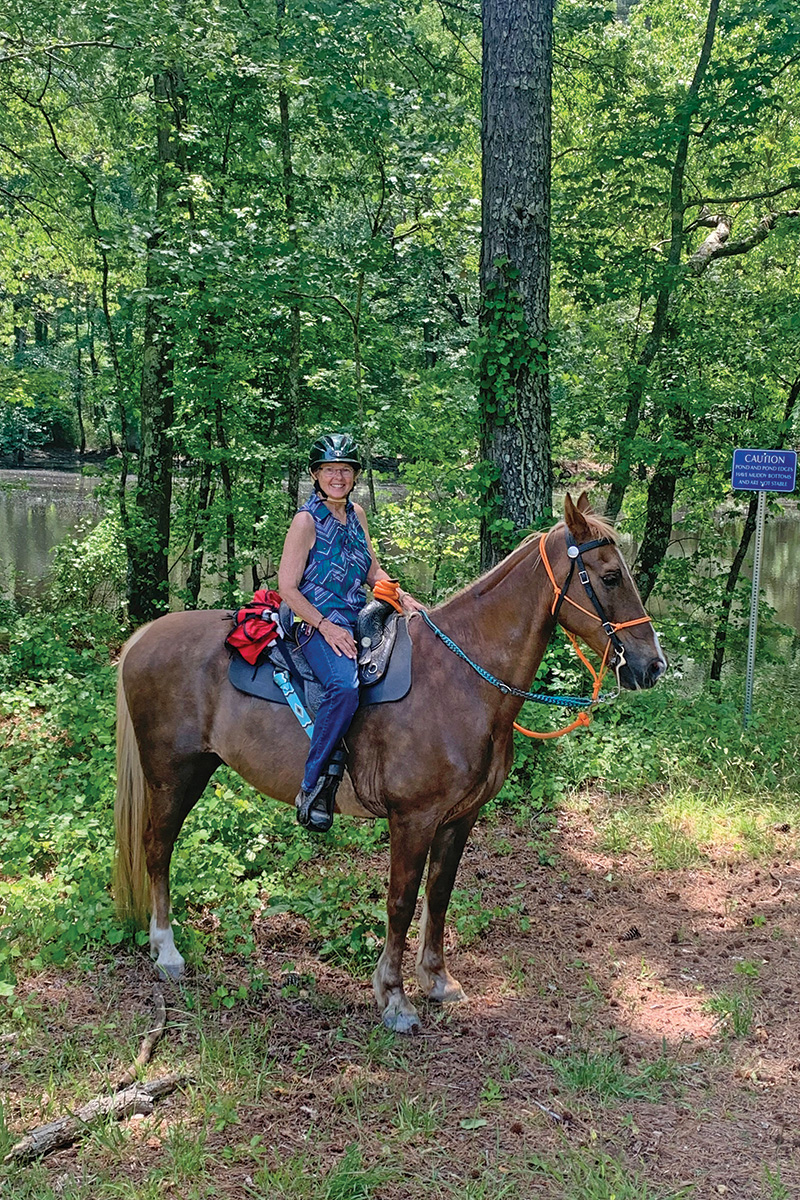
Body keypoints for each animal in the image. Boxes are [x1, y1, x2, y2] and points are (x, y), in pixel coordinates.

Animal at [114, 493, 666, 1033]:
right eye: (610, 576)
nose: (652, 666)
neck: (461, 681)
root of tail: (143, 638)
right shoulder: (413, 818)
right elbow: (400, 901)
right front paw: (395, 999)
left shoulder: (460, 817)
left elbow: (439, 894)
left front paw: (438, 980)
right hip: (173, 775)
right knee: (157, 849)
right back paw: (167, 952)